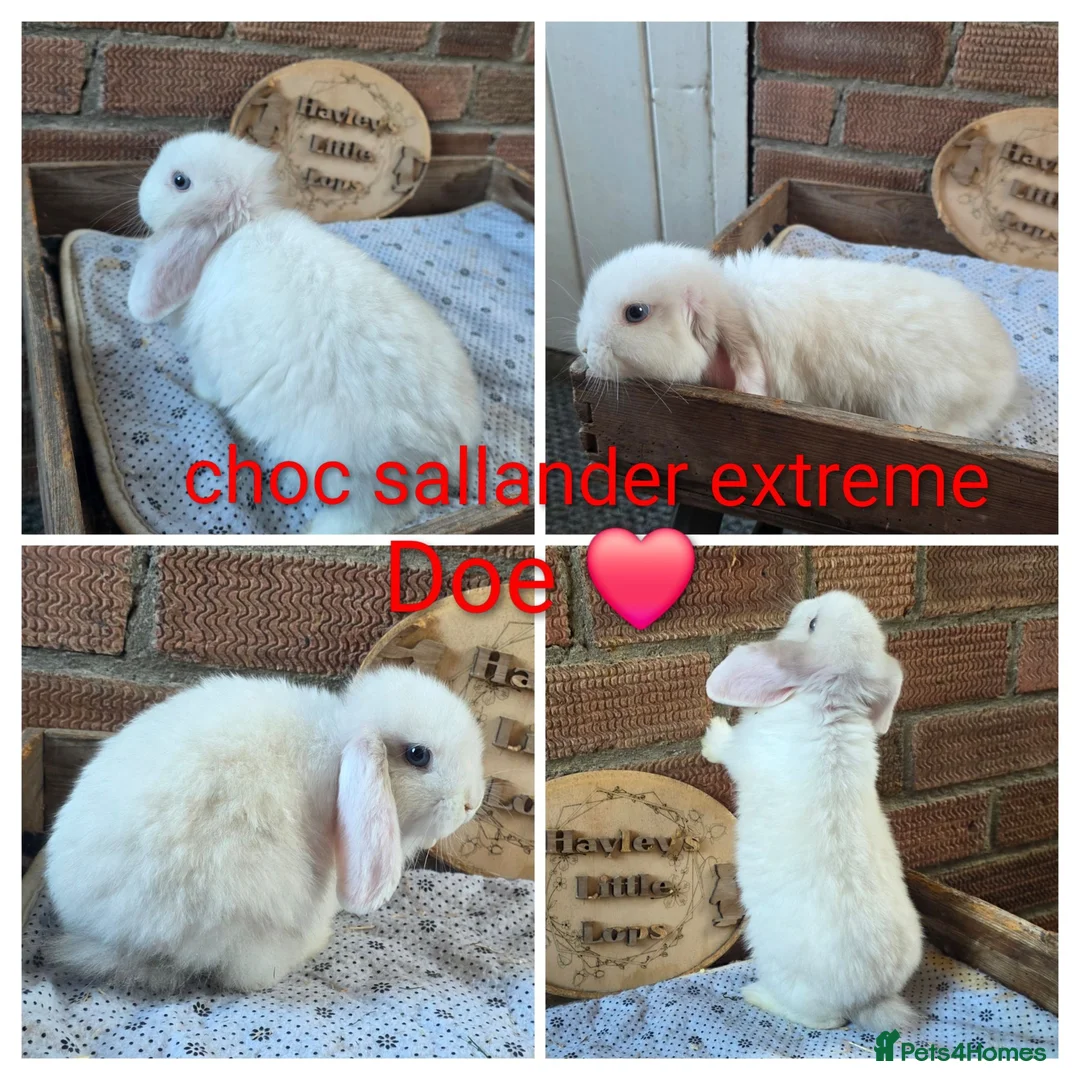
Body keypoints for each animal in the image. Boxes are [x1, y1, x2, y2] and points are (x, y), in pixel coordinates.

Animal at [127, 132, 482, 534]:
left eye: (179, 181)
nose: (140, 191)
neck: (236, 228)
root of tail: (452, 444)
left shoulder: (207, 362)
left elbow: (207, 387)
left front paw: (198, 395)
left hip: (355, 473)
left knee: (380, 514)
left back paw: (322, 529)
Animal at [700, 590, 922, 1031]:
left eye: (812, 624)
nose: (811, 599)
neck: (830, 701)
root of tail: (869, 999)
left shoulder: (744, 752)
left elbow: (727, 751)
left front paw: (711, 734)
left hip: (789, 979)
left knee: (823, 1023)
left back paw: (757, 995)